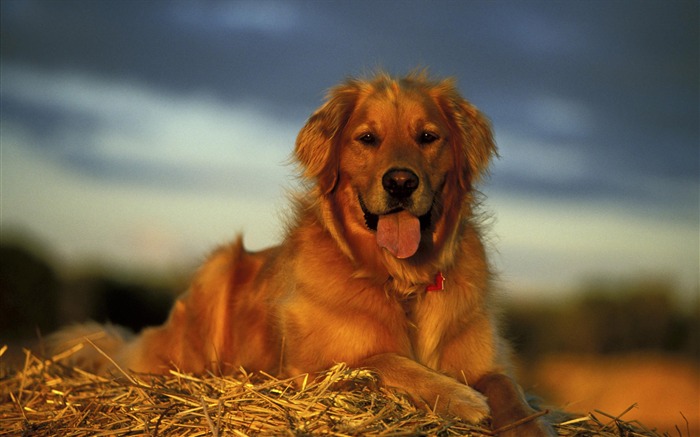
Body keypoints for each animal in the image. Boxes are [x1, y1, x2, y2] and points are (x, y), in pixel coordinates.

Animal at [50, 71, 552, 432]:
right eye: (367, 138)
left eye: (428, 137)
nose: (401, 183)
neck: (399, 279)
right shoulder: (308, 369)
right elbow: (381, 360)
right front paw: (462, 398)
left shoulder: (490, 362)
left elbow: (513, 394)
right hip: (216, 271)